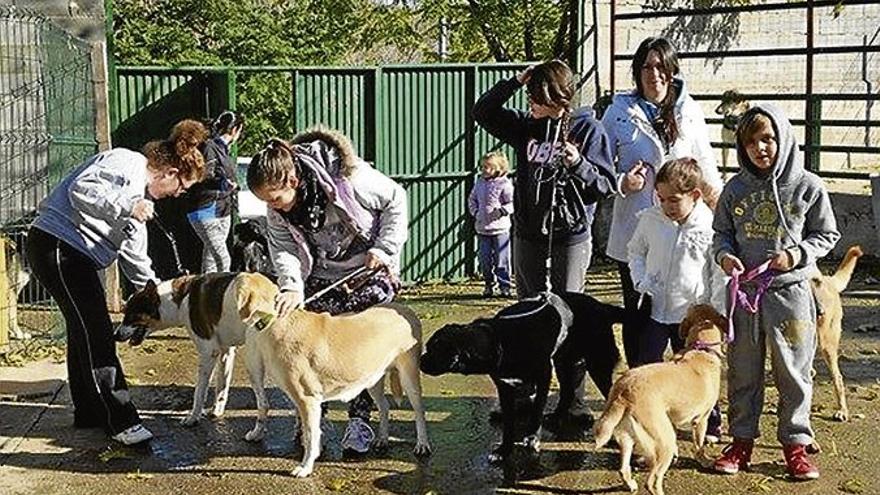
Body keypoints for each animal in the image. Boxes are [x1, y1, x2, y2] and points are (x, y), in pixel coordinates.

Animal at [118, 274, 432, 478]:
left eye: (131, 313)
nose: (116, 334)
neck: (275, 320)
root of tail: (403, 307)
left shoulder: (307, 399)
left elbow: (311, 435)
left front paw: (305, 467)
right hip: (373, 380)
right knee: (385, 407)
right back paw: (381, 439)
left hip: (409, 378)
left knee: (419, 412)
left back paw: (422, 445)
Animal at [422, 292, 624, 464]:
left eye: (432, 350)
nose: (421, 361)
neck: (499, 341)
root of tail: (602, 306)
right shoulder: (505, 387)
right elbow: (509, 424)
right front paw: (504, 450)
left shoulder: (543, 377)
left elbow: (536, 412)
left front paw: (532, 438)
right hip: (563, 361)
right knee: (567, 391)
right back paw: (557, 416)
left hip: (597, 365)